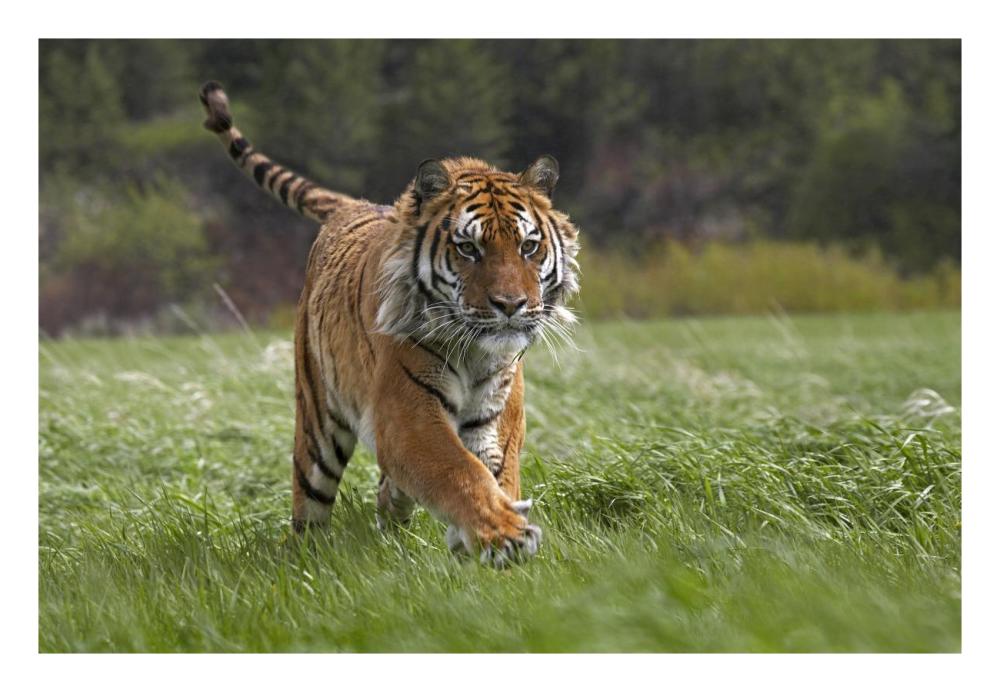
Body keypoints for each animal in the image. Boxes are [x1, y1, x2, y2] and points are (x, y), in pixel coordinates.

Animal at [198, 80, 580, 567]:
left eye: (529, 246)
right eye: (469, 248)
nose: (510, 305)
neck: (475, 352)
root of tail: (353, 205)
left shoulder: (498, 417)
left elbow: (493, 473)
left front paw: (483, 537)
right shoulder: (407, 414)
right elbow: (460, 471)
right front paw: (504, 534)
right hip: (317, 423)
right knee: (310, 505)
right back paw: (305, 559)